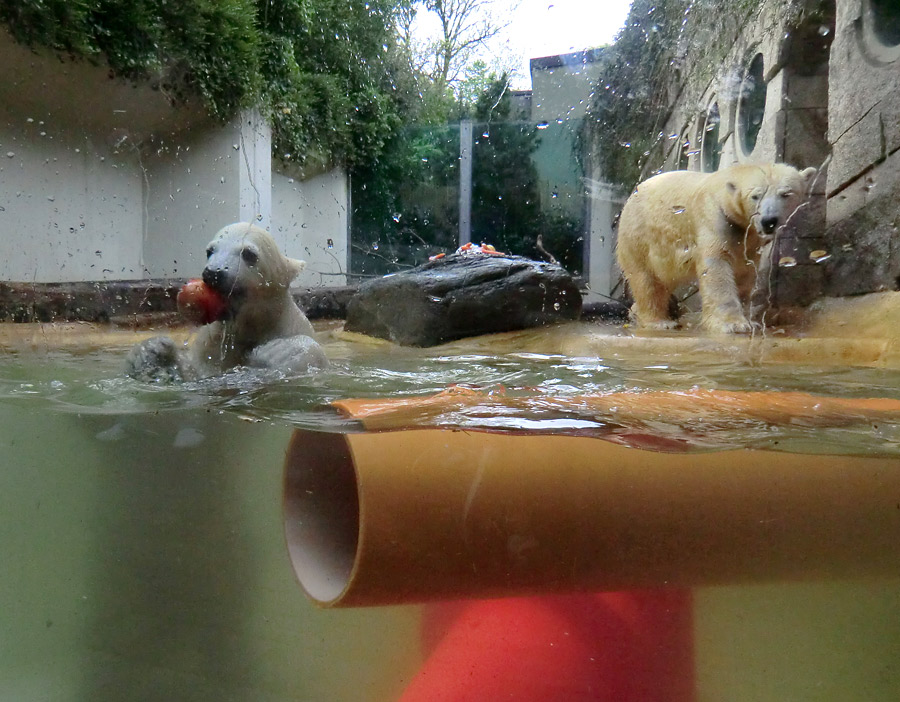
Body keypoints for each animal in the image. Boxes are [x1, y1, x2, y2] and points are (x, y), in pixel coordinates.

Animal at [125, 223, 326, 382]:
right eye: (210, 251)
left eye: (249, 253)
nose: (213, 273)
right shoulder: (210, 345)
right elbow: (194, 372)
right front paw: (150, 350)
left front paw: (279, 351)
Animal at [620, 164, 816, 334]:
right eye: (755, 196)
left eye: (786, 194)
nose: (769, 221)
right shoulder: (714, 218)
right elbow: (717, 266)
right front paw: (734, 324)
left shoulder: (749, 238)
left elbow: (744, 273)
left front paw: (751, 321)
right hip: (639, 235)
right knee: (646, 280)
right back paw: (659, 322)